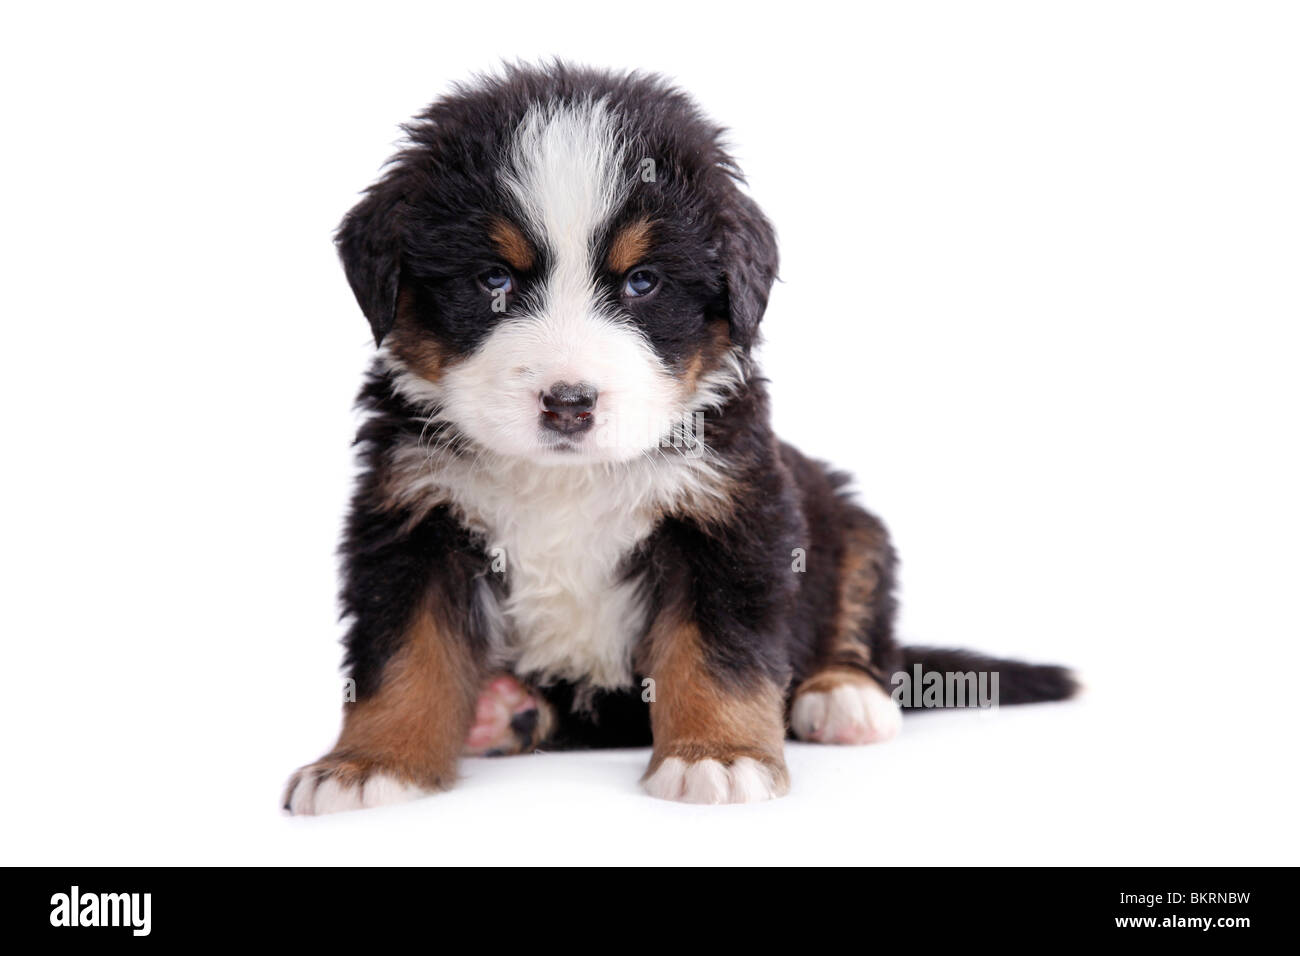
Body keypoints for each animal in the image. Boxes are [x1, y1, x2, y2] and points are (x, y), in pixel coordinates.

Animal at [284, 63, 1076, 816]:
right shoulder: (414, 516)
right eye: (492, 279)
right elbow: (403, 656)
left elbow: (717, 655)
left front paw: (717, 756)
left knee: (859, 619)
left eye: (642, 282)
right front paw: (368, 765)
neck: (564, 479)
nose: (568, 404)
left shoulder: (731, 513)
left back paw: (841, 695)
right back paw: (500, 711)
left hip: (849, 523)